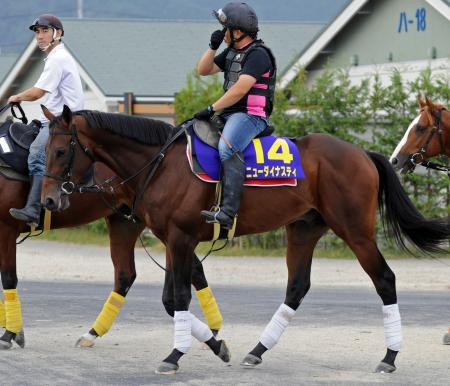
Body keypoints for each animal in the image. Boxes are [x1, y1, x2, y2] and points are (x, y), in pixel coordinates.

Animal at [0, 114, 223, 350]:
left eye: (60, 152)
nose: (49, 199)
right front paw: (14, 331)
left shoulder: (6, 229)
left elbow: (8, 277)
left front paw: (10, 333)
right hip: (127, 224)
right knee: (129, 274)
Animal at [42, 105, 450, 374]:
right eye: (43, 150)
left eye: (60, 150)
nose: (48, 200)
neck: (161, 164)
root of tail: (361, 152)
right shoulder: (174, 241)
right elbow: (171, 301)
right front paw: (216, 344)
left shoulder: (180, 239)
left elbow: (178, 298)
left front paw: (175, 355)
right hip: (303, 229)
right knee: (296, 287)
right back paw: (258, 349)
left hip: (355, 231)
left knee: (384, 279)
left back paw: (389, 357)